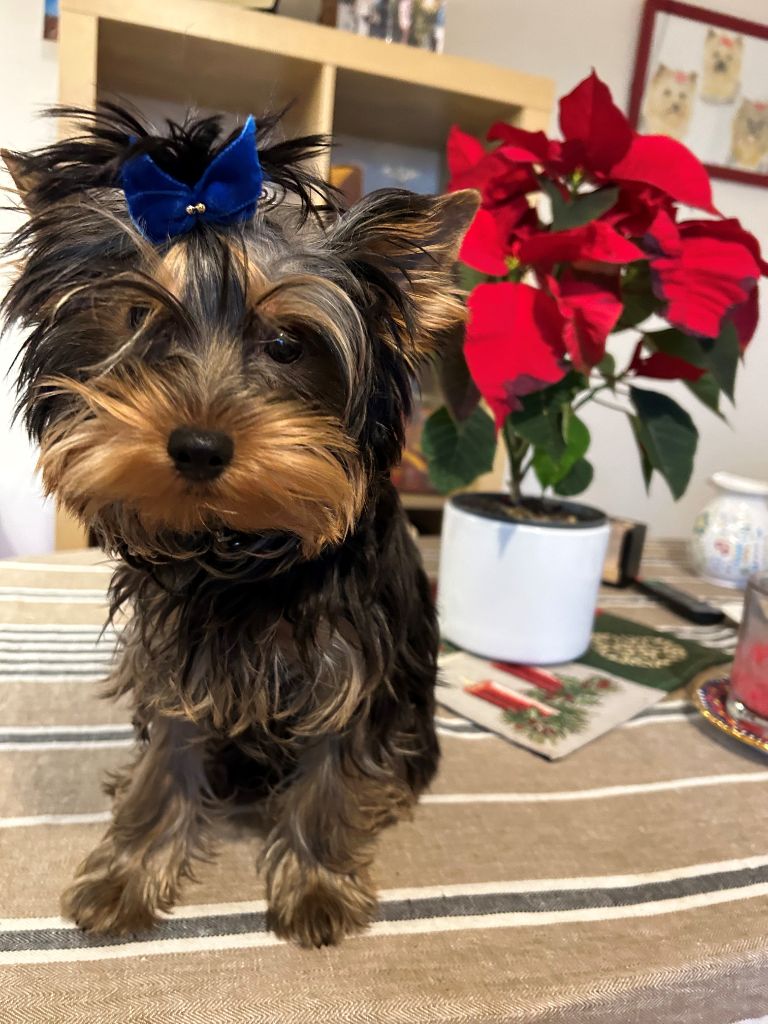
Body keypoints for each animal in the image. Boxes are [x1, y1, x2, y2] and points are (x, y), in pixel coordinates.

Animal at [3, 108, 479, 946]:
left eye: (288, 344)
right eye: (139, 320)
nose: (198, 445)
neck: (240, 550)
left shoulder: (352, 660)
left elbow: (332, 764)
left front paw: (316, 885)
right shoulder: (173, 662)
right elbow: (168, 753)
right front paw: (129, 871)